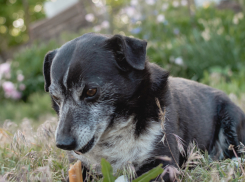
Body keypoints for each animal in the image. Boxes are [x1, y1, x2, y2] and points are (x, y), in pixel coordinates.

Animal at [42, 32, 245, 181]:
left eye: (91, 91)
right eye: (55, 96)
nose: (63, 143)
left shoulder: (163, 165)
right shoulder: (79, 166)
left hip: (231, 118)